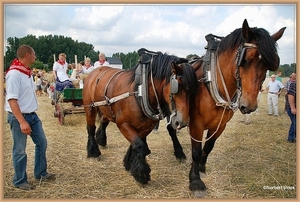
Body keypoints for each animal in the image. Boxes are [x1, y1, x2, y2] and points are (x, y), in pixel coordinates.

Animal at [82, 48, 199, 185]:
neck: (140, 91)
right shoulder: (123, 124)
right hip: (90, 107)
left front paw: (129, 163)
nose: (182, 122)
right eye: (177, 88)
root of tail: (94, 72)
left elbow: (137, 143)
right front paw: (141, 174)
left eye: (193, 91)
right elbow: (139, 145)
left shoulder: (146, 126)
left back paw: (101, 139)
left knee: (104, 121)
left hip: (106, 108)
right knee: (90, 128)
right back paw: (93, 151)